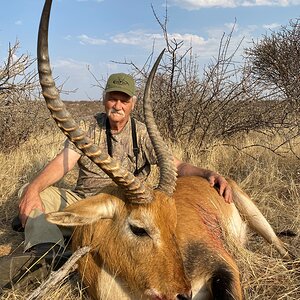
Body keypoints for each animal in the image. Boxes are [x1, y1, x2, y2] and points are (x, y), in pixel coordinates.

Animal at [37, 1, 290, 298]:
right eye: (139, 228)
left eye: (174, 221)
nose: (183, 294)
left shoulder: (225, 266)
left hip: (257, 219)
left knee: (282, 248)